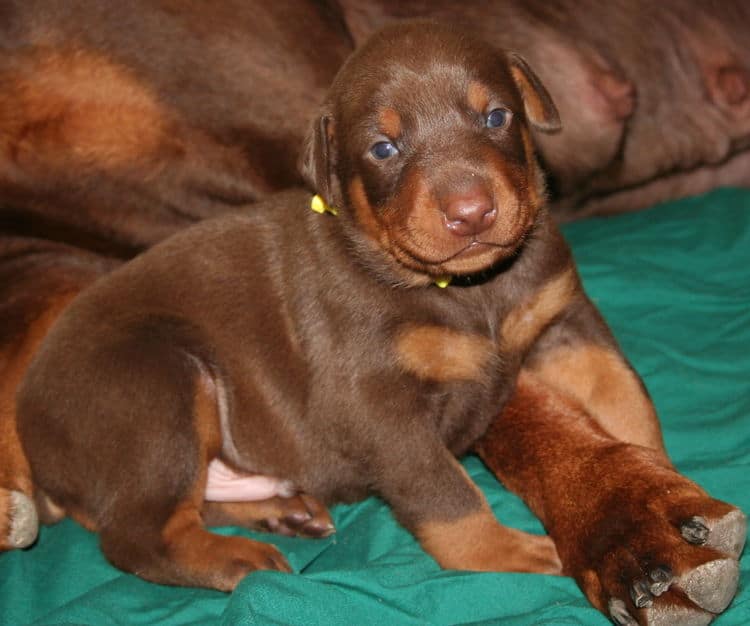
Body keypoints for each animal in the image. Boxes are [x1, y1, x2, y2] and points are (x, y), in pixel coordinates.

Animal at [13, 20, 748, 624]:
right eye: (384, 148)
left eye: (496, 115)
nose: (471, 211)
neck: (470, 291)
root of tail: (32, 432)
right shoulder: (377, 405)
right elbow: (445, 495)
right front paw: (516, 551)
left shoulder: (564, 323)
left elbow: (626, 405)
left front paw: (668, 502)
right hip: (157, 380)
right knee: (136, 532)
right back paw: (238, 560)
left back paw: (281, 509)